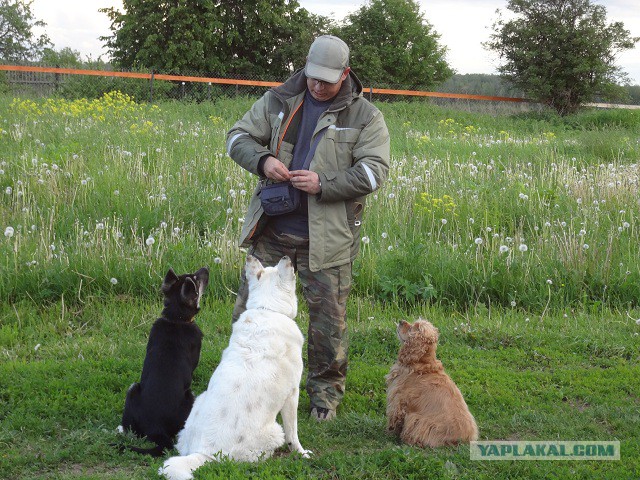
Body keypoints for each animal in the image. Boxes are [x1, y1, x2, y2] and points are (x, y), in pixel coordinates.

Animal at [118, 266, 210, 458]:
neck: (176, 318)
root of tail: (156, 427)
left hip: (132, 389)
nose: (206, 268)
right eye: (197, 279)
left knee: (132, 430)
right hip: (190, 397)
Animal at [160, 256, 310, 478]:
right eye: (278, 268)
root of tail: (204, 453)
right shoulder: (292, 394)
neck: (267, 309)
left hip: (198, 402)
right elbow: (294, 433)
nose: (287, 257)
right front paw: (302, 453)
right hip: (275, 432)